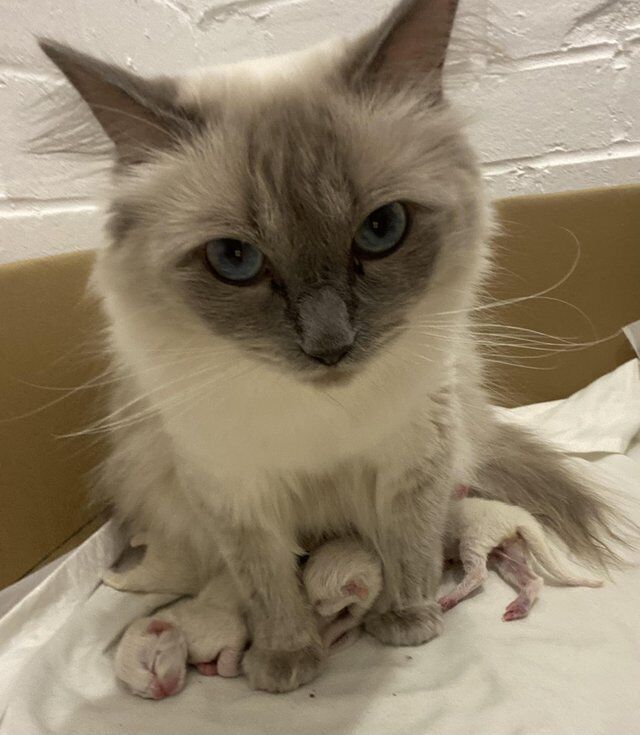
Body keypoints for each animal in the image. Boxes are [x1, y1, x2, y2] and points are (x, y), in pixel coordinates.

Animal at [38, 0, 624, 696]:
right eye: (234, 259)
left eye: (382, 229)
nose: (330, 348)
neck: (320, 415)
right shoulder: (238, 494)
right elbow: (269, 586)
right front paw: (286, 660)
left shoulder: (411, 462)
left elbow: (408, 553)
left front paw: (406, 622)